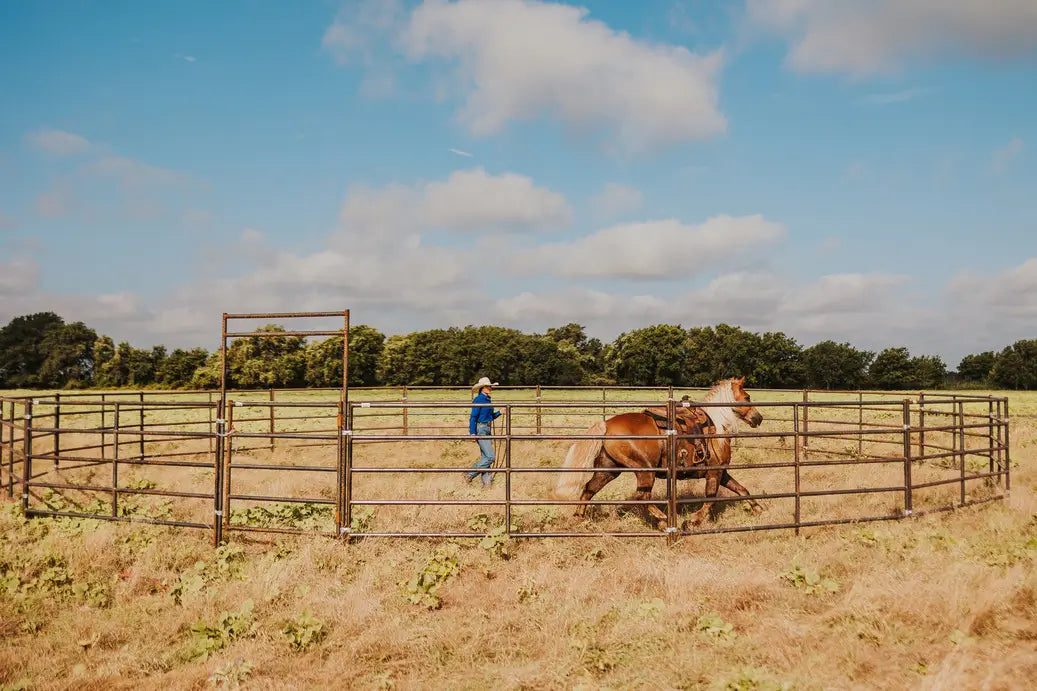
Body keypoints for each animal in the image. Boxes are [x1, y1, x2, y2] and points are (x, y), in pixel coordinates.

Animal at [555, 377, 767, 527]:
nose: (758, 418)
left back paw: (580, 518)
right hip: (644, 471)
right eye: (747, 398)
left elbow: (741, 489)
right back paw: (663, 520)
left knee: (588, 489)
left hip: (608, 470)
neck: (716, 425)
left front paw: (758, 509)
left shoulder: (722, 472)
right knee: (642, 497)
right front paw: (692, 521)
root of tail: (606, 424)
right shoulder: (714, 472)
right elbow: (710, 500)